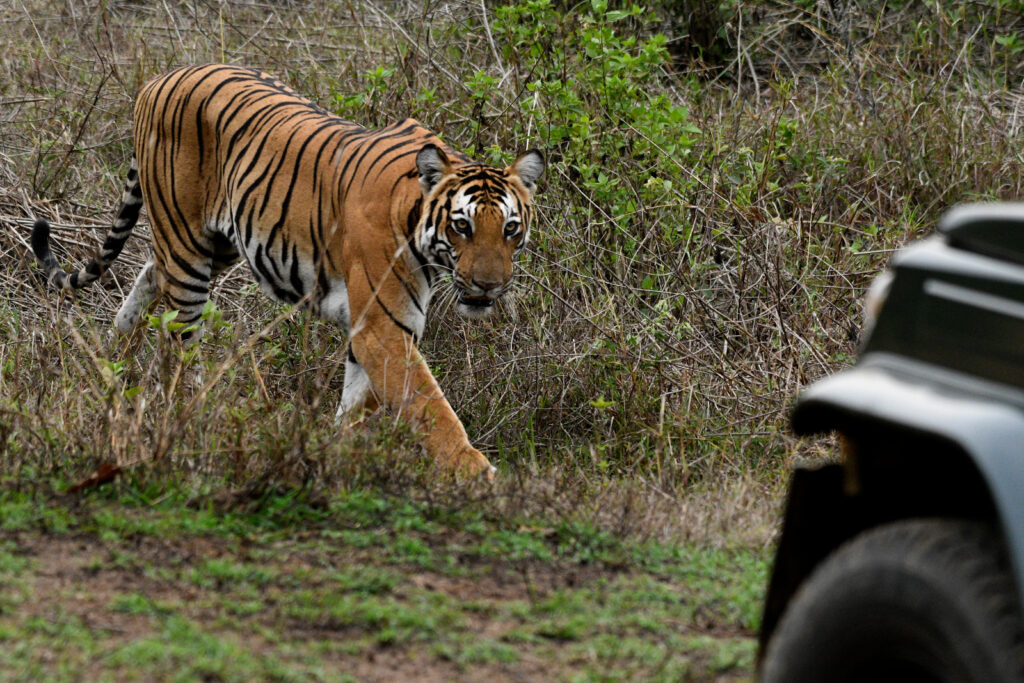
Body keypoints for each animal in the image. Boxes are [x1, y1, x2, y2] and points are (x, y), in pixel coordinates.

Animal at [29, 63, 544, 481]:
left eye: (510, 229)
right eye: (462, 226)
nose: (490, 286)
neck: (416, 220)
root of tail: (158, 79)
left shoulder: (379, 327)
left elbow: (358, 404)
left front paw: (333, 455)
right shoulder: (383, 326)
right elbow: (431, 407)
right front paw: (478, 475)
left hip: (220, 243)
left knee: (149, 278)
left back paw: (111, 358)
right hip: (187, 247)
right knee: (177, 343)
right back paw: (184, 419)